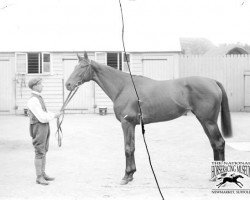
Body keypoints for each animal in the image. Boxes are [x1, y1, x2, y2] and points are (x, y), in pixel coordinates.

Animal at [65, 51, 232, 184]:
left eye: (82, 67)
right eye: (74, 67)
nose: (68, 84)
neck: (123, 87)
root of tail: (213, 82)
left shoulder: (126, 123)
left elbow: (127, 148)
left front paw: (126, 177)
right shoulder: (132, 124)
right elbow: (132, 147)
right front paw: (131, 174)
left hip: (208, 121)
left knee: (219, 143)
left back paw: (220, 175)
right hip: (204, 121)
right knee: (214, 144)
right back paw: (214, 176)